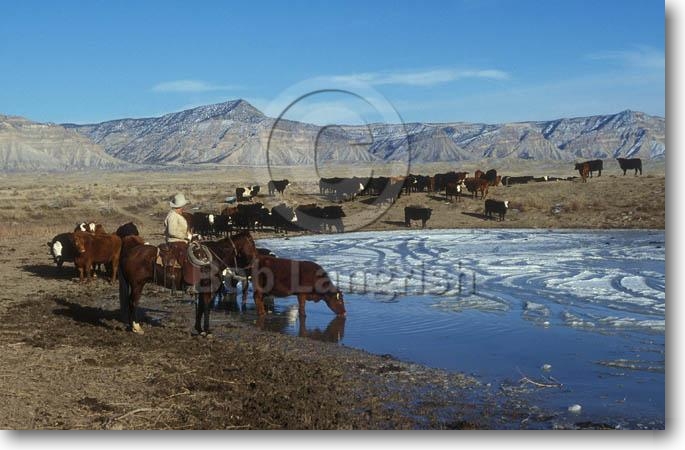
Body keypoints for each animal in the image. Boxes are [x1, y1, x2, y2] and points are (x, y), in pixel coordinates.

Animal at [118, 232, 258, 336]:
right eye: (252, 243)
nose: (254, 261)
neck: (213, 258)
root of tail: (129, 253)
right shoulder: (208, 290)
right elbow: (206, 307)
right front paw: (207, 330)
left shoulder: (202, 291)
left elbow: (200, 308)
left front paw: (200, 329)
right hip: (137, 285)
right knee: (133, 302)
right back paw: (136, 327)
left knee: (130, 302)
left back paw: (131, 326)